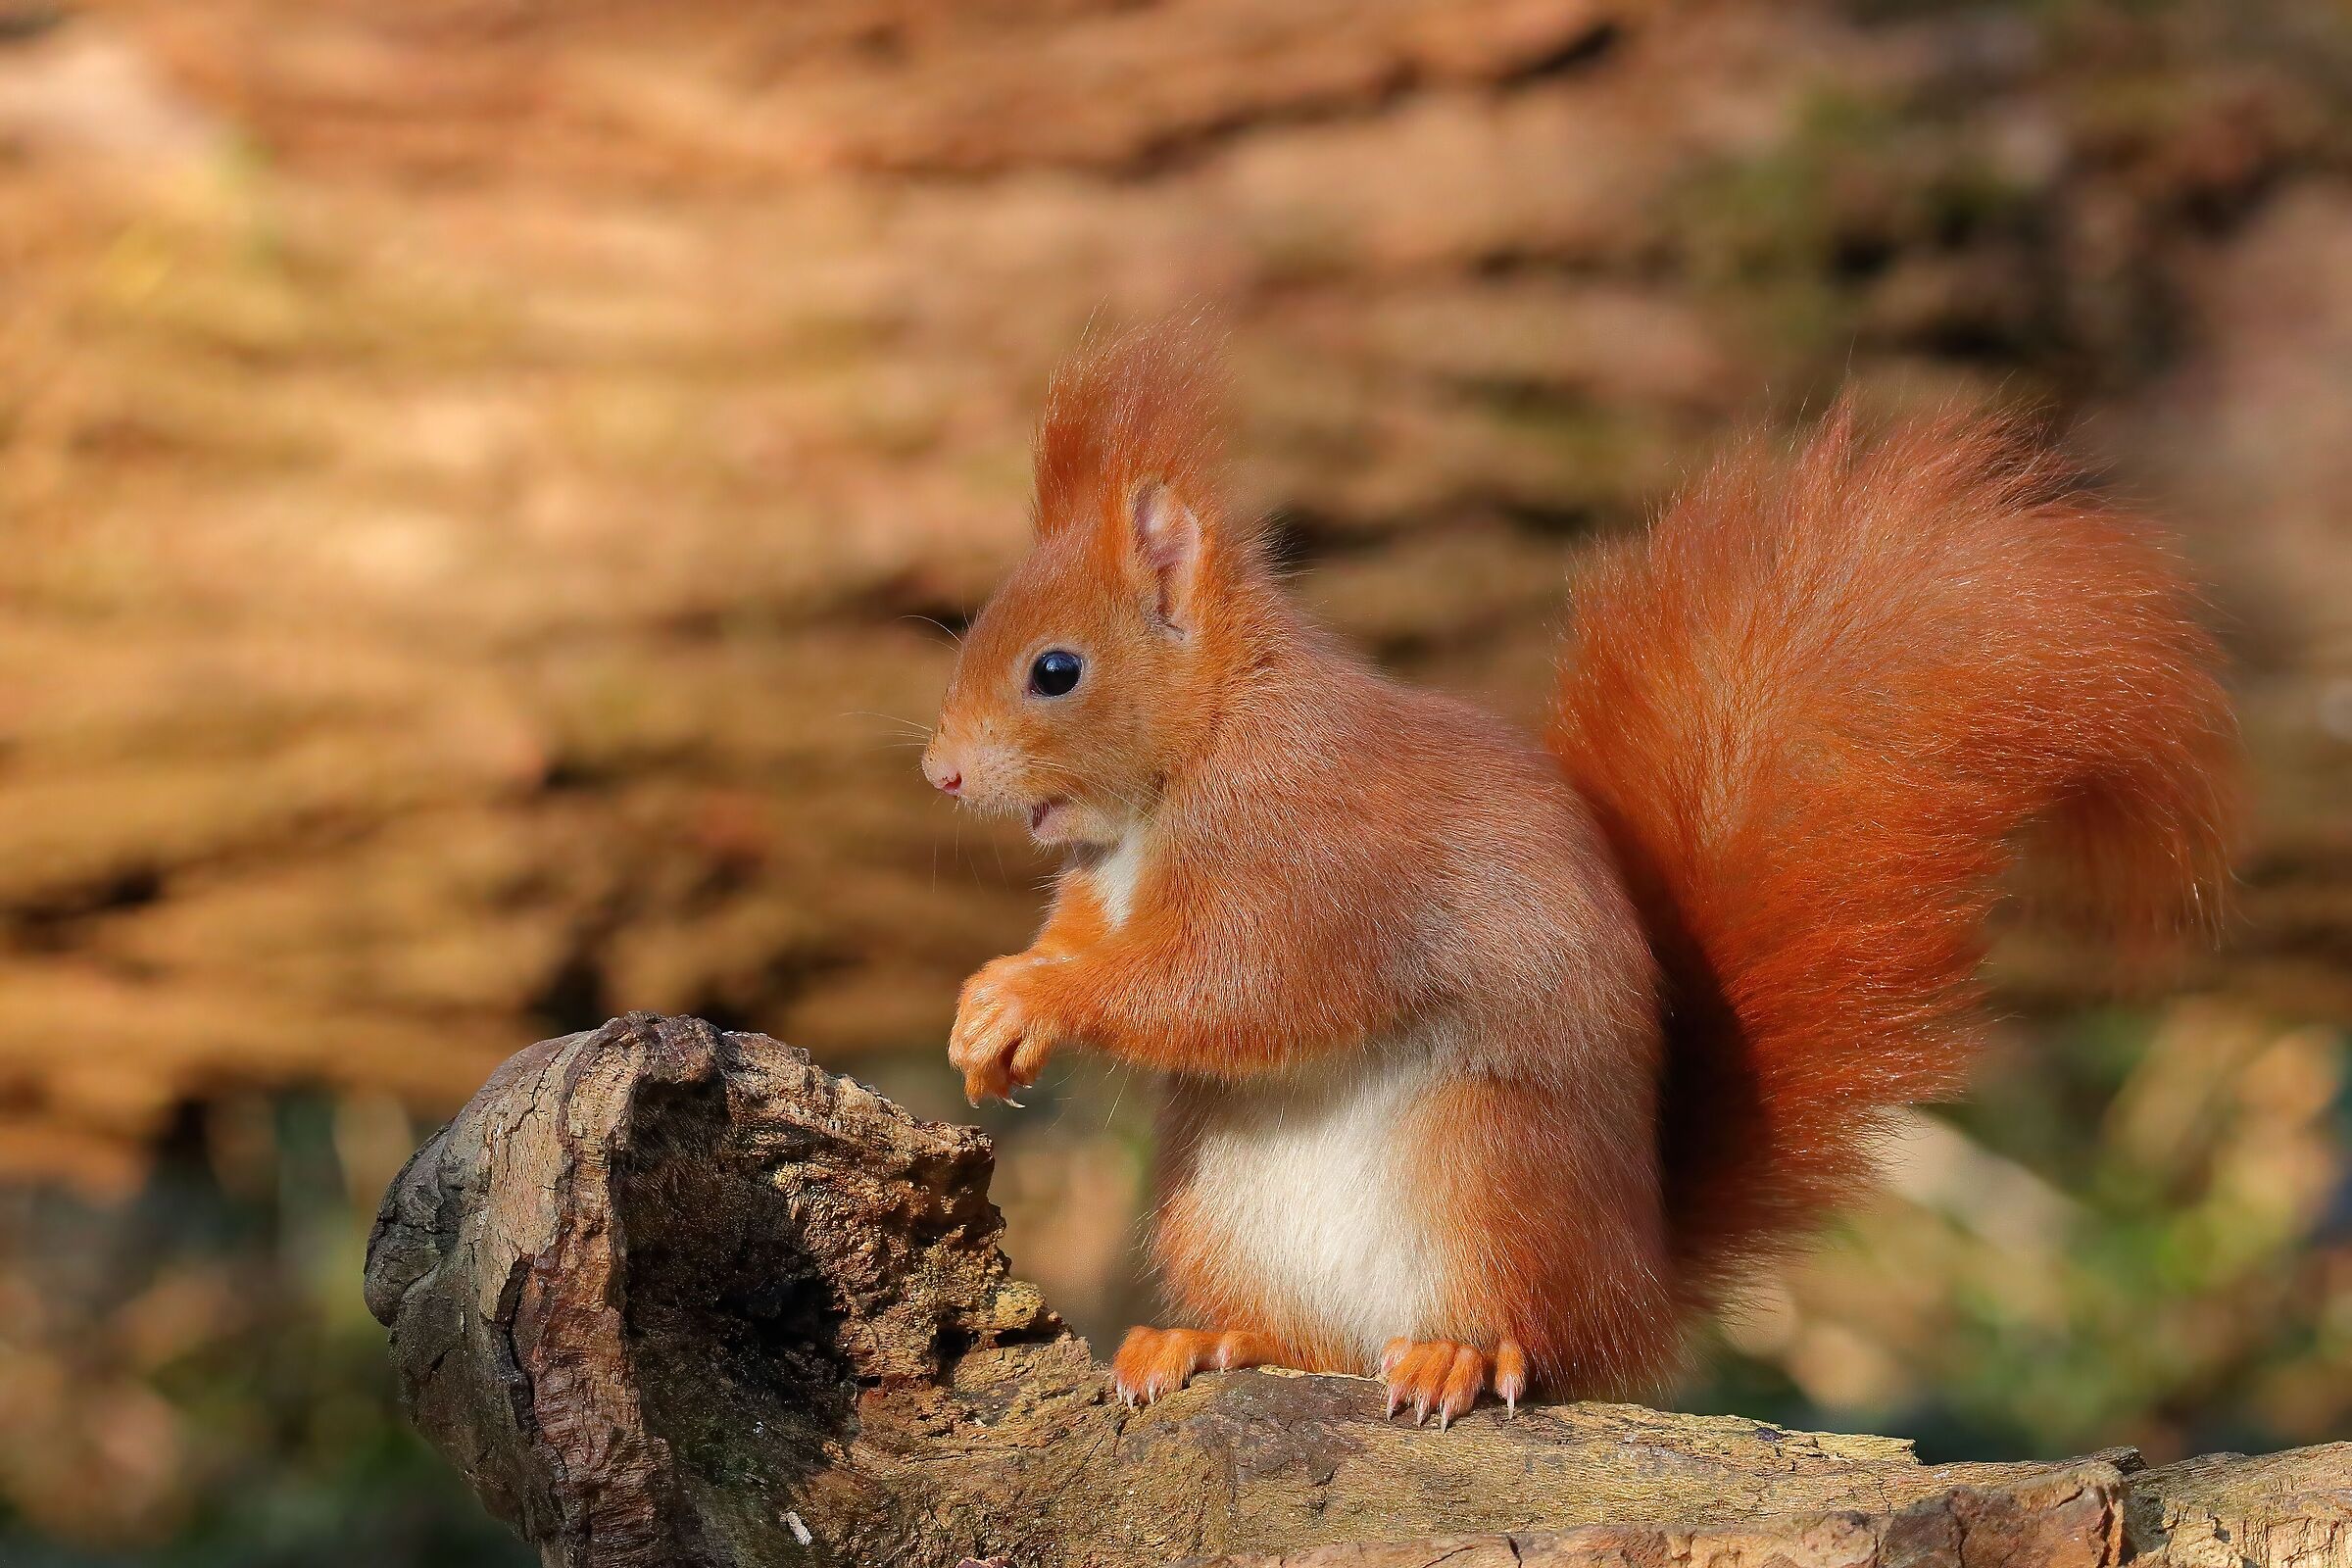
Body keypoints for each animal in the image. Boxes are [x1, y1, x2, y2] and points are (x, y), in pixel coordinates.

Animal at [920, 318, 2238, 1427]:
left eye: (1054, 670)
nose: (938, 773)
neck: (1185, 767)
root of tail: (1638, 1288)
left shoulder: (1316, 856)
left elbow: (1244, 985)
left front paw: (1039, 1000)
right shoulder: (1103, 886)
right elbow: (1096, 946)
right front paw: (990, 1004)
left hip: (1491, 1164)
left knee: (1531, 1341)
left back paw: (1458, 1354)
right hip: (1220, 1208)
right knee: (1313, 1343)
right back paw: (1209, 1339)